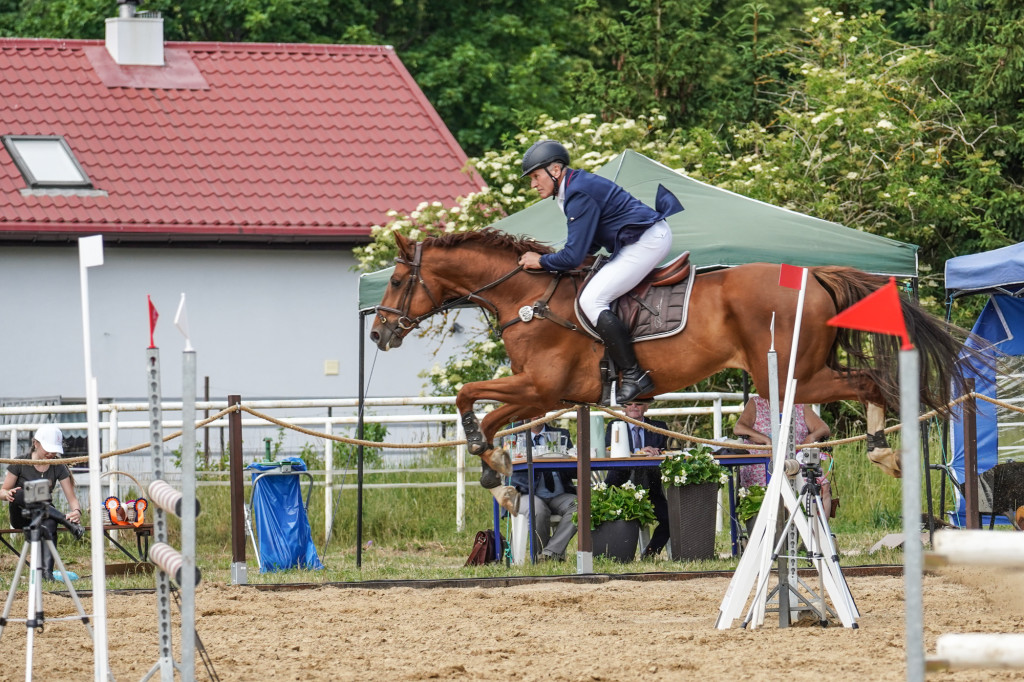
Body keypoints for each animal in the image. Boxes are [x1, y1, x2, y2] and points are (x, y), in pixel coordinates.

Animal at [372, 228, 970, 509]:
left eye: (398, 280)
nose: (379, 334)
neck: (527, 297)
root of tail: (813, 274)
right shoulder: (544, 396)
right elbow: (484, 413)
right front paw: (498, 477)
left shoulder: (541, 387)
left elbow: (467, 397)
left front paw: (494, 472)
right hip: (807, 366)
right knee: (868, 380)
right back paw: (885, 451)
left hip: (793, 373)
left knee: (870, 382)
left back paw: (884, 452)